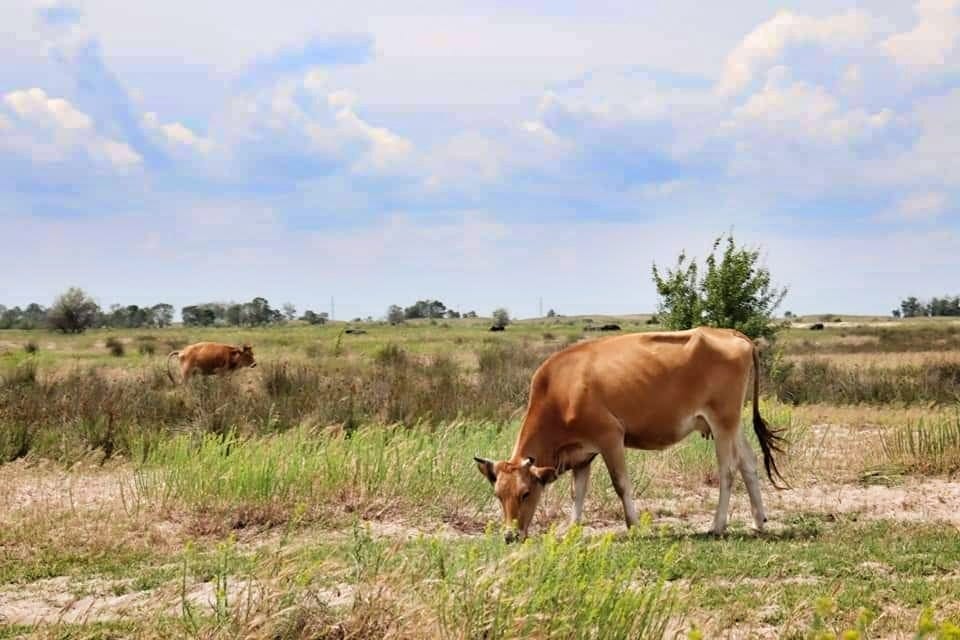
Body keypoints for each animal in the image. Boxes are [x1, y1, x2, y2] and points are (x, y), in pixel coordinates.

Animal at [474, 327, 784, 542]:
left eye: (525, 493)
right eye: (498, 495)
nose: (510, 536)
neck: (560, 392)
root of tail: (730, 333)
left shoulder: (611, 437)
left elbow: (621, 484)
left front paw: (633, 526)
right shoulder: (582, 454)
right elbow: (578, 492)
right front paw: (571, 529)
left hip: (722, 422)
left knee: (728, 470)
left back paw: (717, 526)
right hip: (733, 424)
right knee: (748, 463)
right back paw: (758, 521)